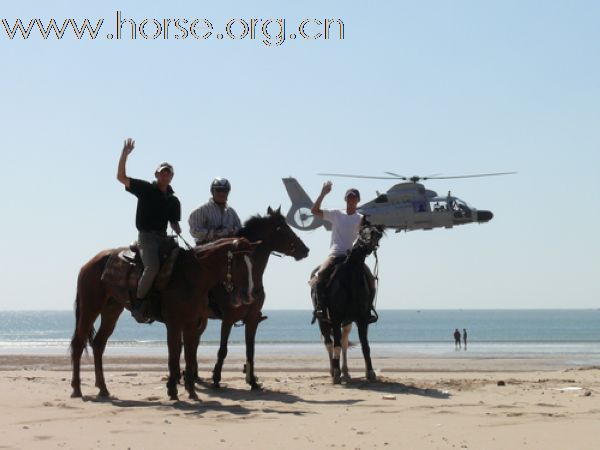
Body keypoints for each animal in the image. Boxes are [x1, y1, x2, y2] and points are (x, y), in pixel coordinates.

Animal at [70, 237, 258, 400]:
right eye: (239, 263)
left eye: (252, 263)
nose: (249, 295)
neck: (191, 276)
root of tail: (88, 264)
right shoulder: (174, 323)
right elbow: (173, 356)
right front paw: (173, 390)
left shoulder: (192, 324)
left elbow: (189, 357)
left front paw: (191, 392)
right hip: (90, 308)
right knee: (79, 344)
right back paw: (77, 389)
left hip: (111, 310)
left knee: (98, 345)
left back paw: (103, 389)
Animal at [314, 224, 384, 384]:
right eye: (362, 232)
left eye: (377, 234)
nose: (366, 245)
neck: (350, 280)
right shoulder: (335, 318)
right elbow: (336, 346)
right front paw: (335, 373)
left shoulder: (362, 319)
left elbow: (365, 346)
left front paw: (370, 372)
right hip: (323, 321)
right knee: (329, 343)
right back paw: (333, 371)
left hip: (347, 322)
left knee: (344, 341)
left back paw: (345, 372)